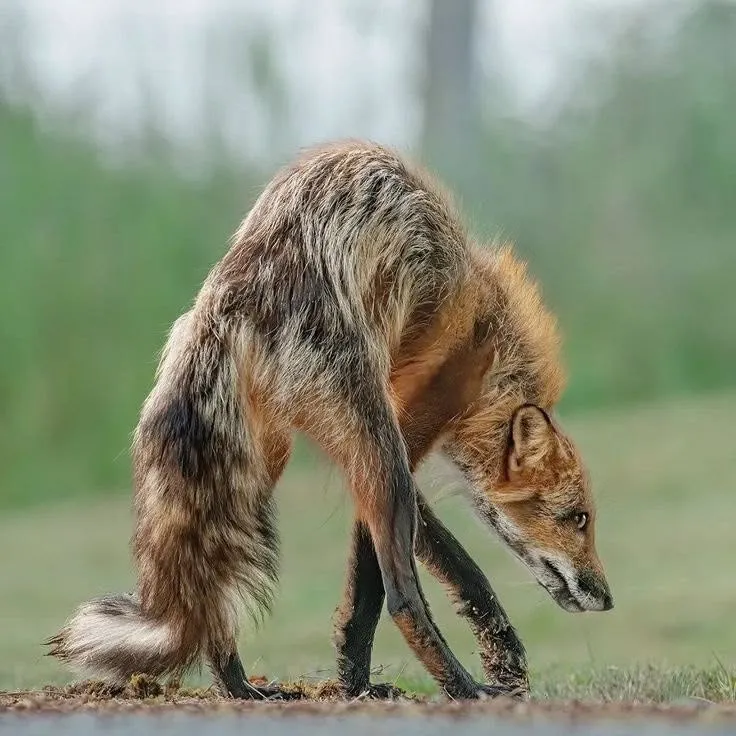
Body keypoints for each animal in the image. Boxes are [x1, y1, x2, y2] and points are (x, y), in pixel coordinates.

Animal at [47, 139, 612, 700]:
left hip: (264, 462)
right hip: (374, 450)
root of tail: (233, 292)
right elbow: (386, 586)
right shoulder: (409, 432)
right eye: (579, 518)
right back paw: (464, 687)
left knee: (214, 590)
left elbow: (439, 571)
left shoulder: (378, 457)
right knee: (402, 599)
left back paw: (239, 687)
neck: (492, 345)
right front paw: (479, 667)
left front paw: (355, 682)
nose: (606, 598)